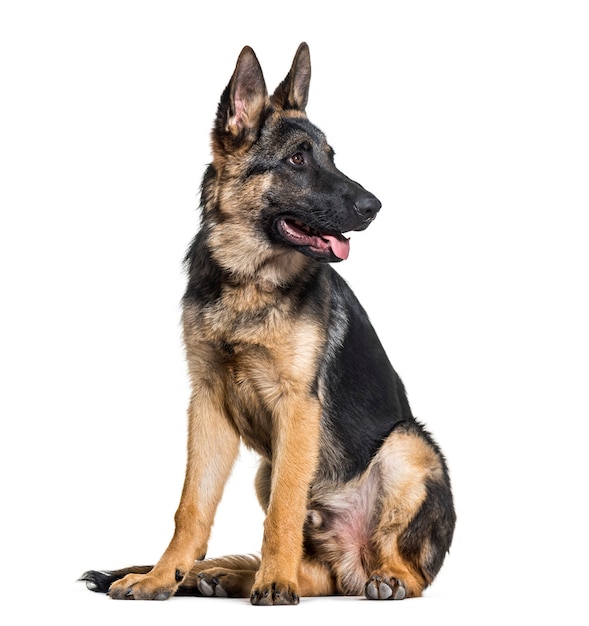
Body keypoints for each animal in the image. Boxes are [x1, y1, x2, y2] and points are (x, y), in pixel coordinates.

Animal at [79, 41, 454, 604]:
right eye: (298, 159)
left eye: (331, 157)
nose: (375, 206)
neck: (250, 277)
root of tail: (353, 563)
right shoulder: (208, 403)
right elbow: (191, 505)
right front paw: (162, 576)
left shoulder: (296, 406)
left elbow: (283, 509)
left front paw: (273, 582)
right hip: (265, 467)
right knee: (319, 574)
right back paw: (224, 575)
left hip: (406, 445)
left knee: (407, 570)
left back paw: (377, 579)